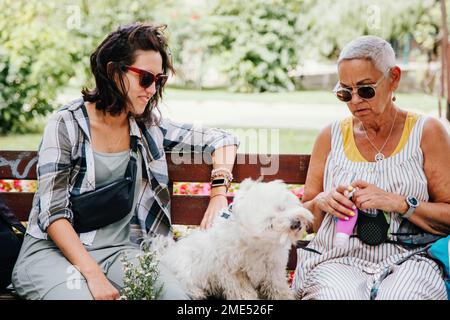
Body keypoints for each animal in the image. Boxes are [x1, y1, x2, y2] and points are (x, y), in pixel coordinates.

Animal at [151, 179, 312, 298]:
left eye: (281, 207)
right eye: (270, 223)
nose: (295, 223)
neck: (257, 245)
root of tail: (166, 254)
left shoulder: (273, 270)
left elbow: (278, 287)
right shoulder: (233, 273)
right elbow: (243, 291)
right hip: (186, 271)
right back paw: (198, 292)